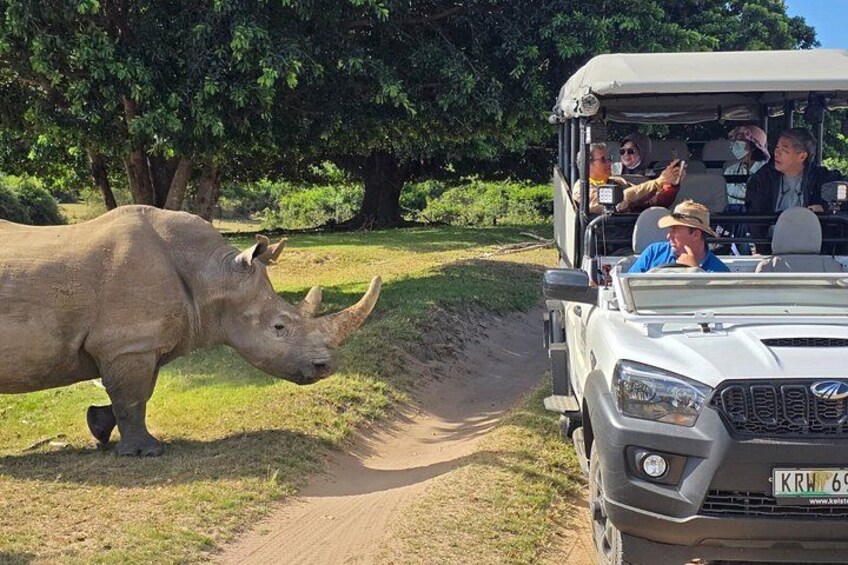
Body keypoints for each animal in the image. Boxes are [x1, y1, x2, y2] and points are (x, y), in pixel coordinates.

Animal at [0, 205, 381, 456]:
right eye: (279, 327)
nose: (327, 367)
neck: (210, 274)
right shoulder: (129, 343)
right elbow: (132, 395)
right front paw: (146, 452)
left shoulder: (141, 343)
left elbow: (137, 392)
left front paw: (98, 426)